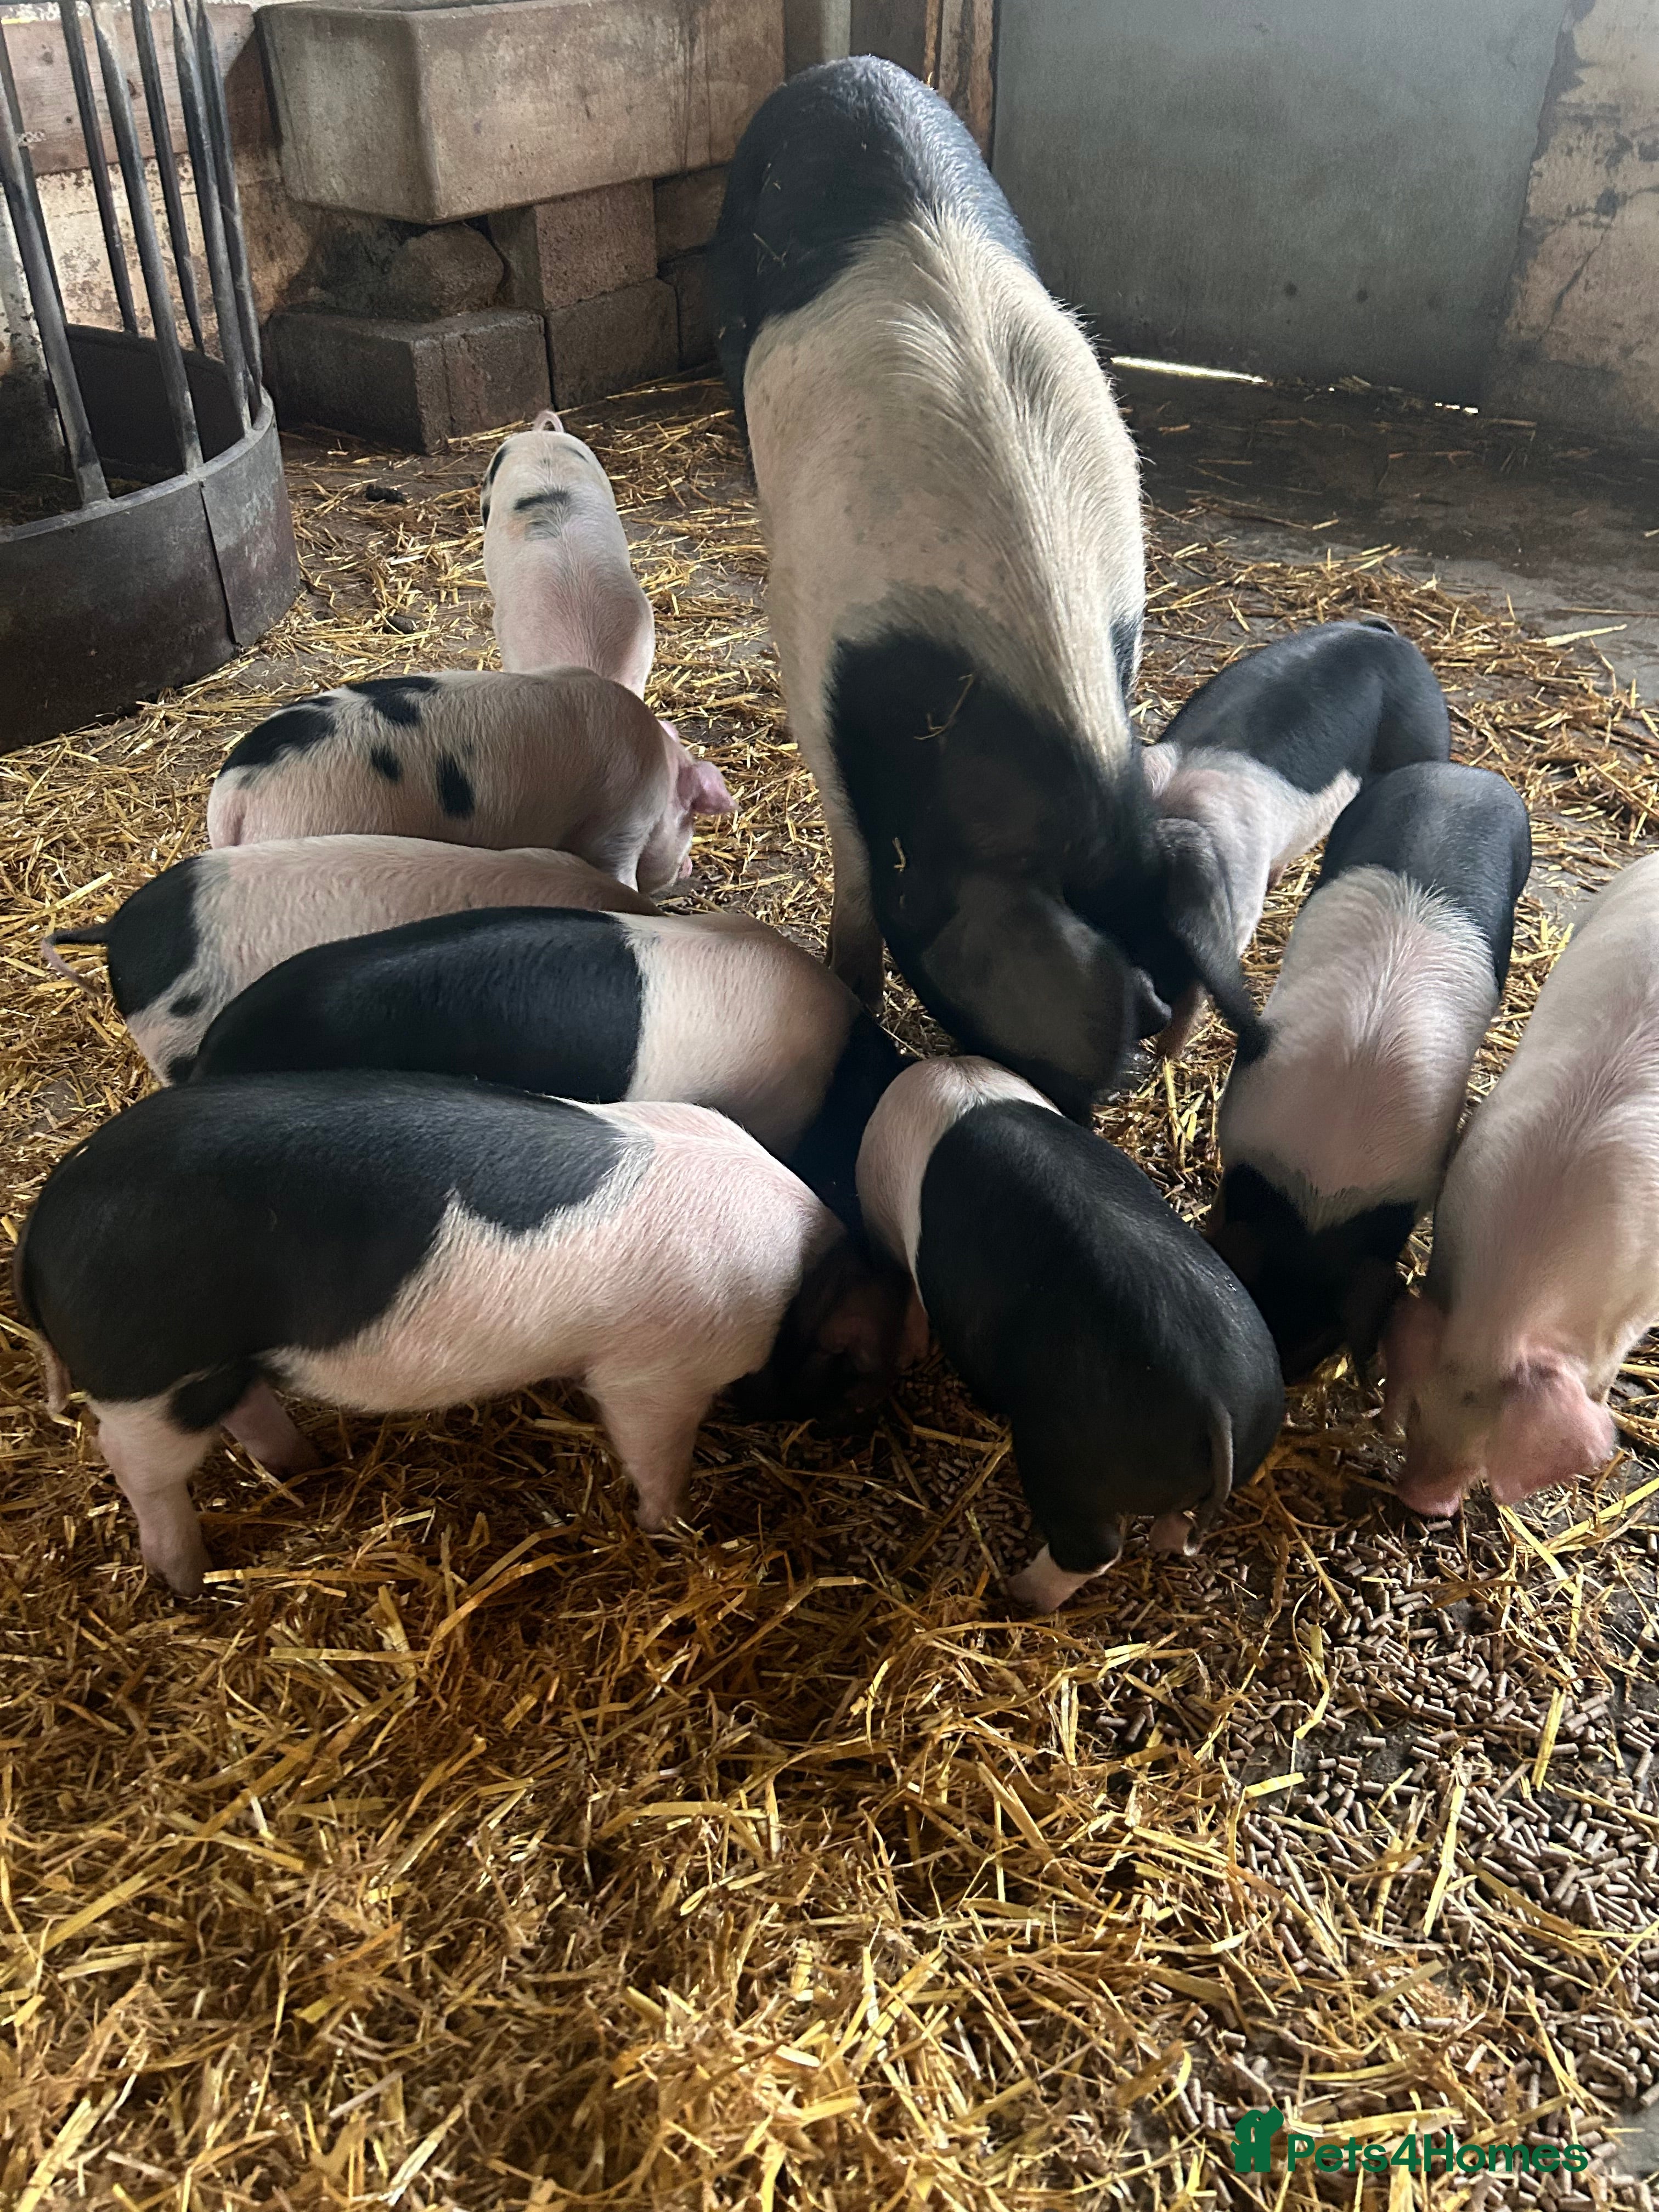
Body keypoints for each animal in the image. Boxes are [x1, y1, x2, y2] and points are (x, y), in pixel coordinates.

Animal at [15, 1071, 914, 1595]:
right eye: (857, 1380)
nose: (867, 1432)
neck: (805, 1281)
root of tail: (44, 1224)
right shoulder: (655, 1375)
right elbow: (652, 1452)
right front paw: (677, 1531)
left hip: (213, 1363)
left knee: (245, 1409)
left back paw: (306, 1466)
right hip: (152, 1373)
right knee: (137, 1463)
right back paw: (189, 1581)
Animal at [203, 669, 733, 889]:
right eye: (692, 820)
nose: (688, 868)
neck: (661, 772)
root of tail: (234, 794)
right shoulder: (619, 826)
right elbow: (617, 874)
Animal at [856, 1057, 1284, 1608]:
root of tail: (1217, 1404)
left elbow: (907, 1292)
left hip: (1065, 1461)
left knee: (1093, 1550)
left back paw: (1016, 1594)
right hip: (1245, 1443)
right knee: (1178, 1524)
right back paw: (1163, 1546)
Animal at [1141, 619, 1451, 1050]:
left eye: (1160, 937)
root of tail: (1384, 633)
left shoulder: (1236, 913)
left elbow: (1198, 994)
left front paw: (1167, 1056)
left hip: (1420, 740)